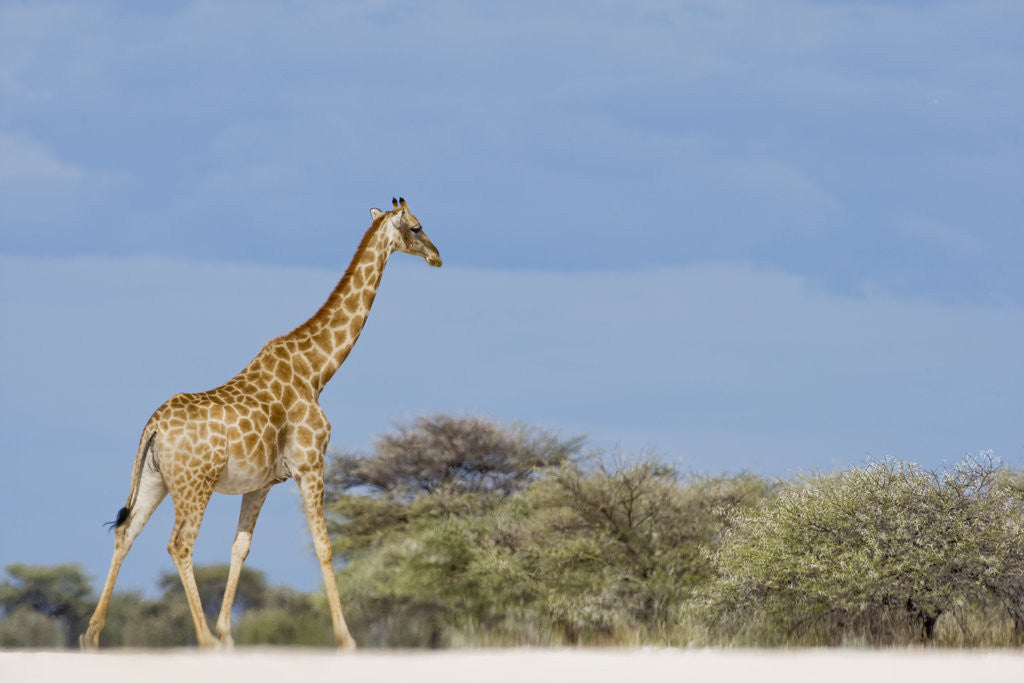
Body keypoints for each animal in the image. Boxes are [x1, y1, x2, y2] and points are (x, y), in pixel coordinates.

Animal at [80, 197, 441, 649]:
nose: (437, 256)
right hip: (194, 485)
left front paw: (228, 634)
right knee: (179, 544)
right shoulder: (310, 465)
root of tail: (154, 427)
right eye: (417, 226)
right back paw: (202, 639)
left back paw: (92, 635)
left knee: (126, 533)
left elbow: (241, 548)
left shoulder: (262, 483)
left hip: (154, 480)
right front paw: (346, 638)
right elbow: (324, 547)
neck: (317, 370)